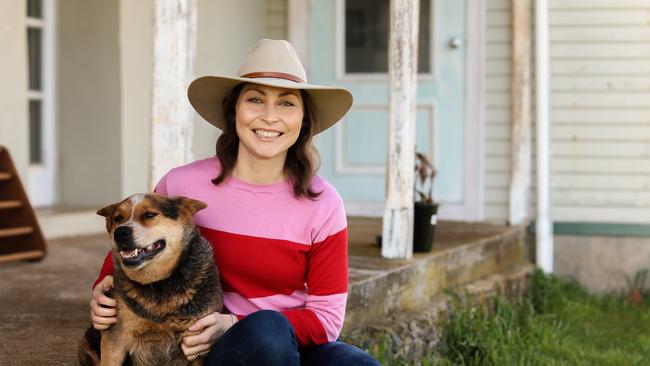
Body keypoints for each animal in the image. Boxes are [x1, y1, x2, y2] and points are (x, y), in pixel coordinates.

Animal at [76, 193, 220, 364]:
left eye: (149, 215)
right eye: (118, 218)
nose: (120, 232)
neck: (158, 284)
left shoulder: (197, 343)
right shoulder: (115, 338)